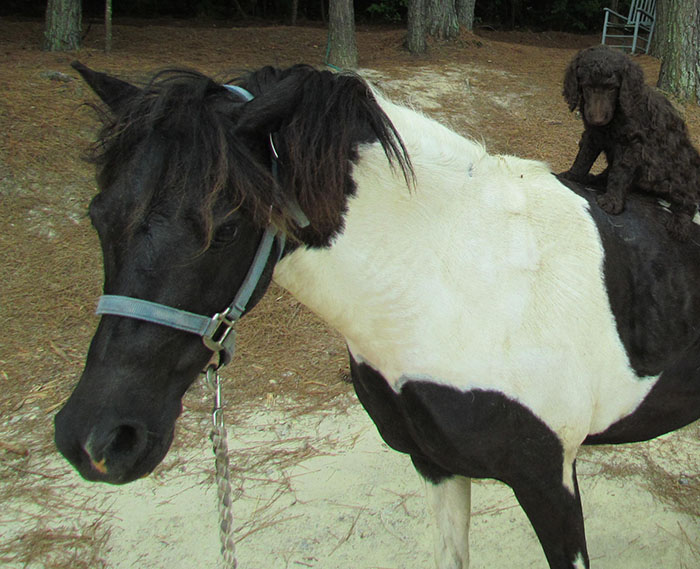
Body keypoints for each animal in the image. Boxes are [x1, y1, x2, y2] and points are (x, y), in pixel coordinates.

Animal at [55, 61, 700, 569]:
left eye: (228, 228)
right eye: (97, 217)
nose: (98, 439)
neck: (459, 280)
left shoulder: (549, 480)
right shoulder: (434, 464)